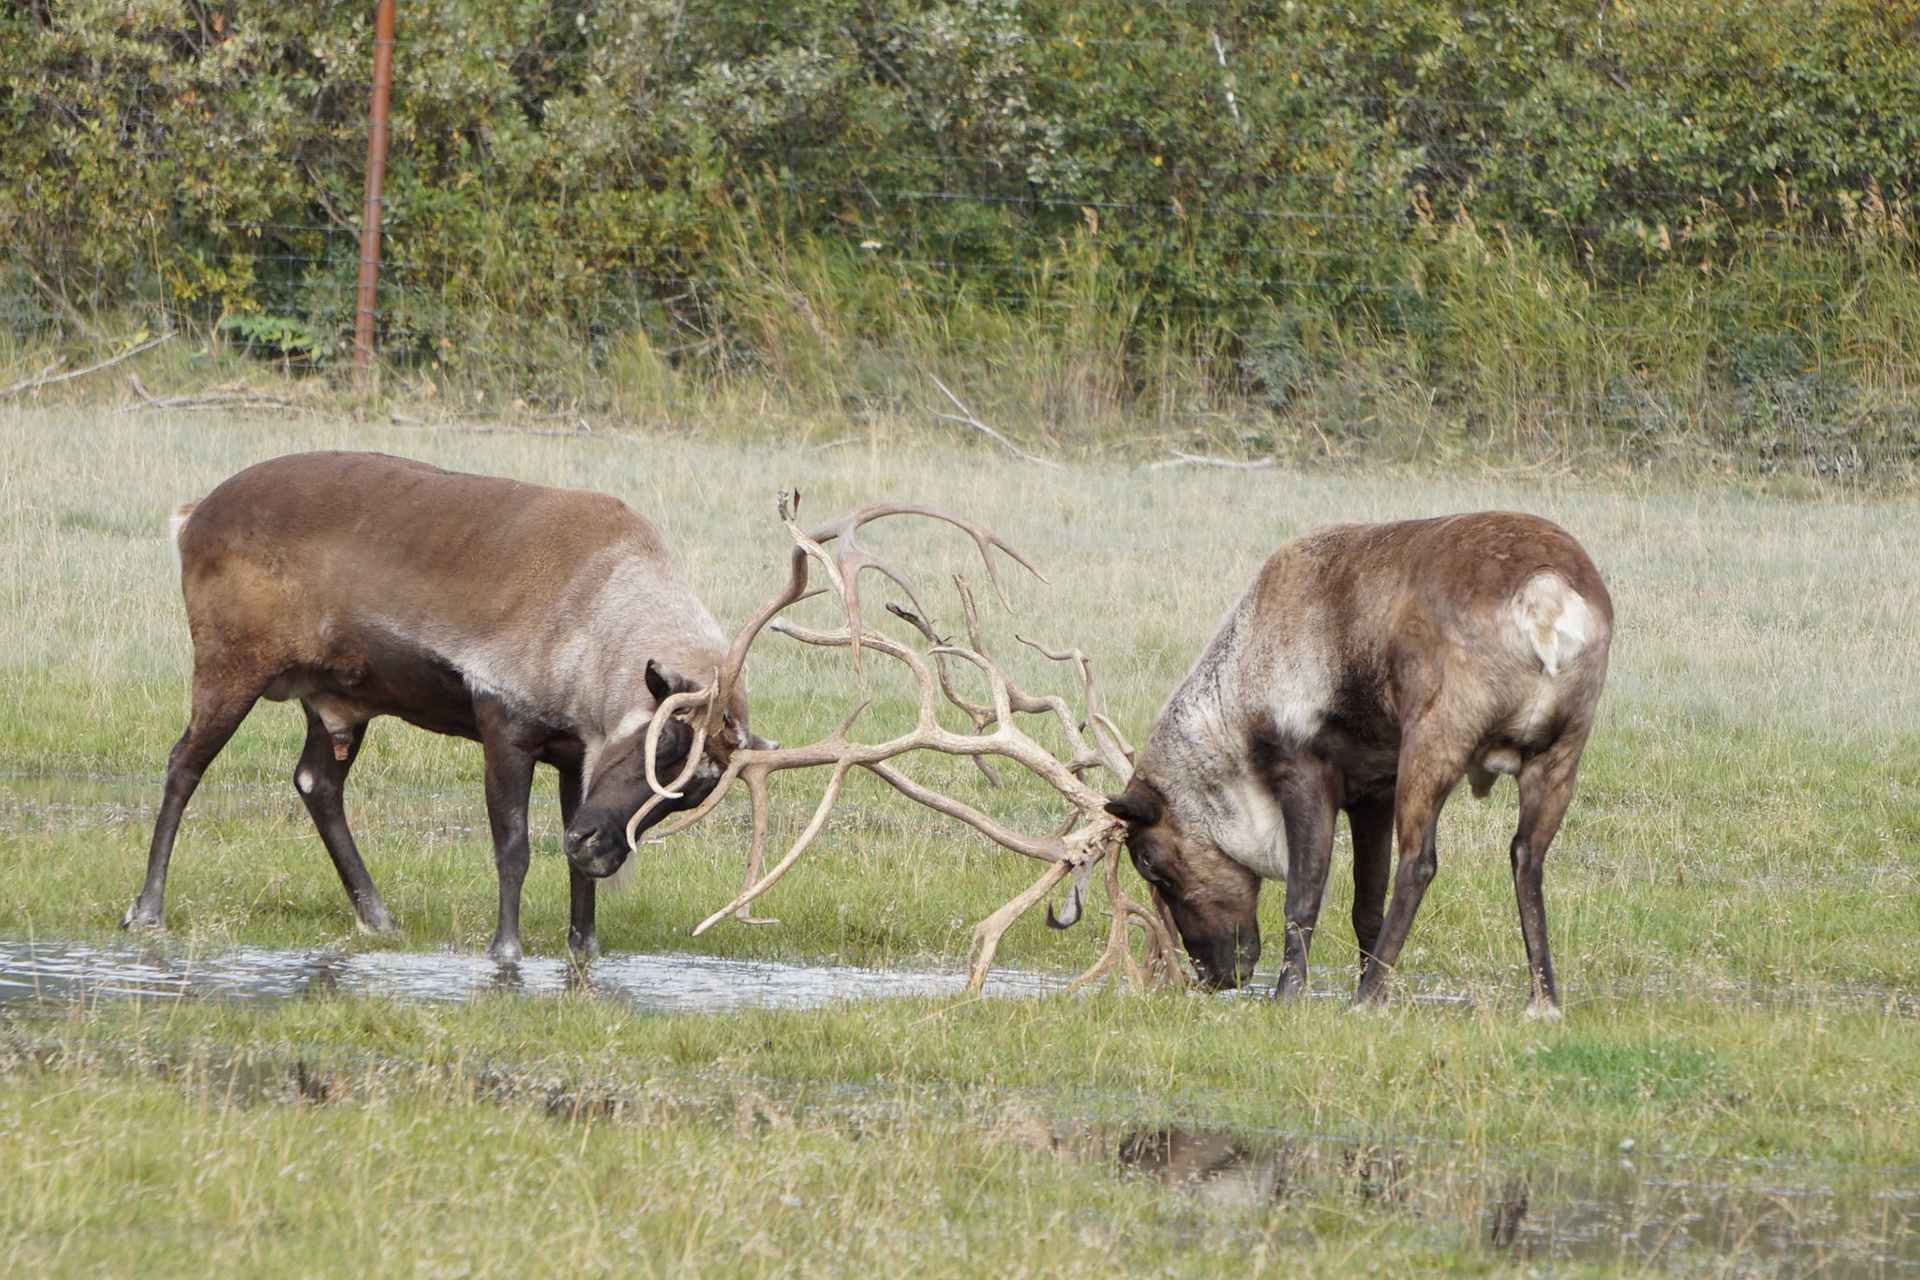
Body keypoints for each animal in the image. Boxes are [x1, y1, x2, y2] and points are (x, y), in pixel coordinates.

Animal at [1102, 512, 1612, 1016]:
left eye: (1147, 859)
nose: (1212, 975)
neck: (1235, 716)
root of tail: (1547, 593)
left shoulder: (1305, 769)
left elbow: (1304, 895)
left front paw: (1291, 994)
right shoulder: (1374, 793)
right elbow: (1366, 905)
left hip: (1435, 740)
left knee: (1420, 862)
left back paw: (1364, 998)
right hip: (1562, 747)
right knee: (1526, 856)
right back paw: (1542, 1000)